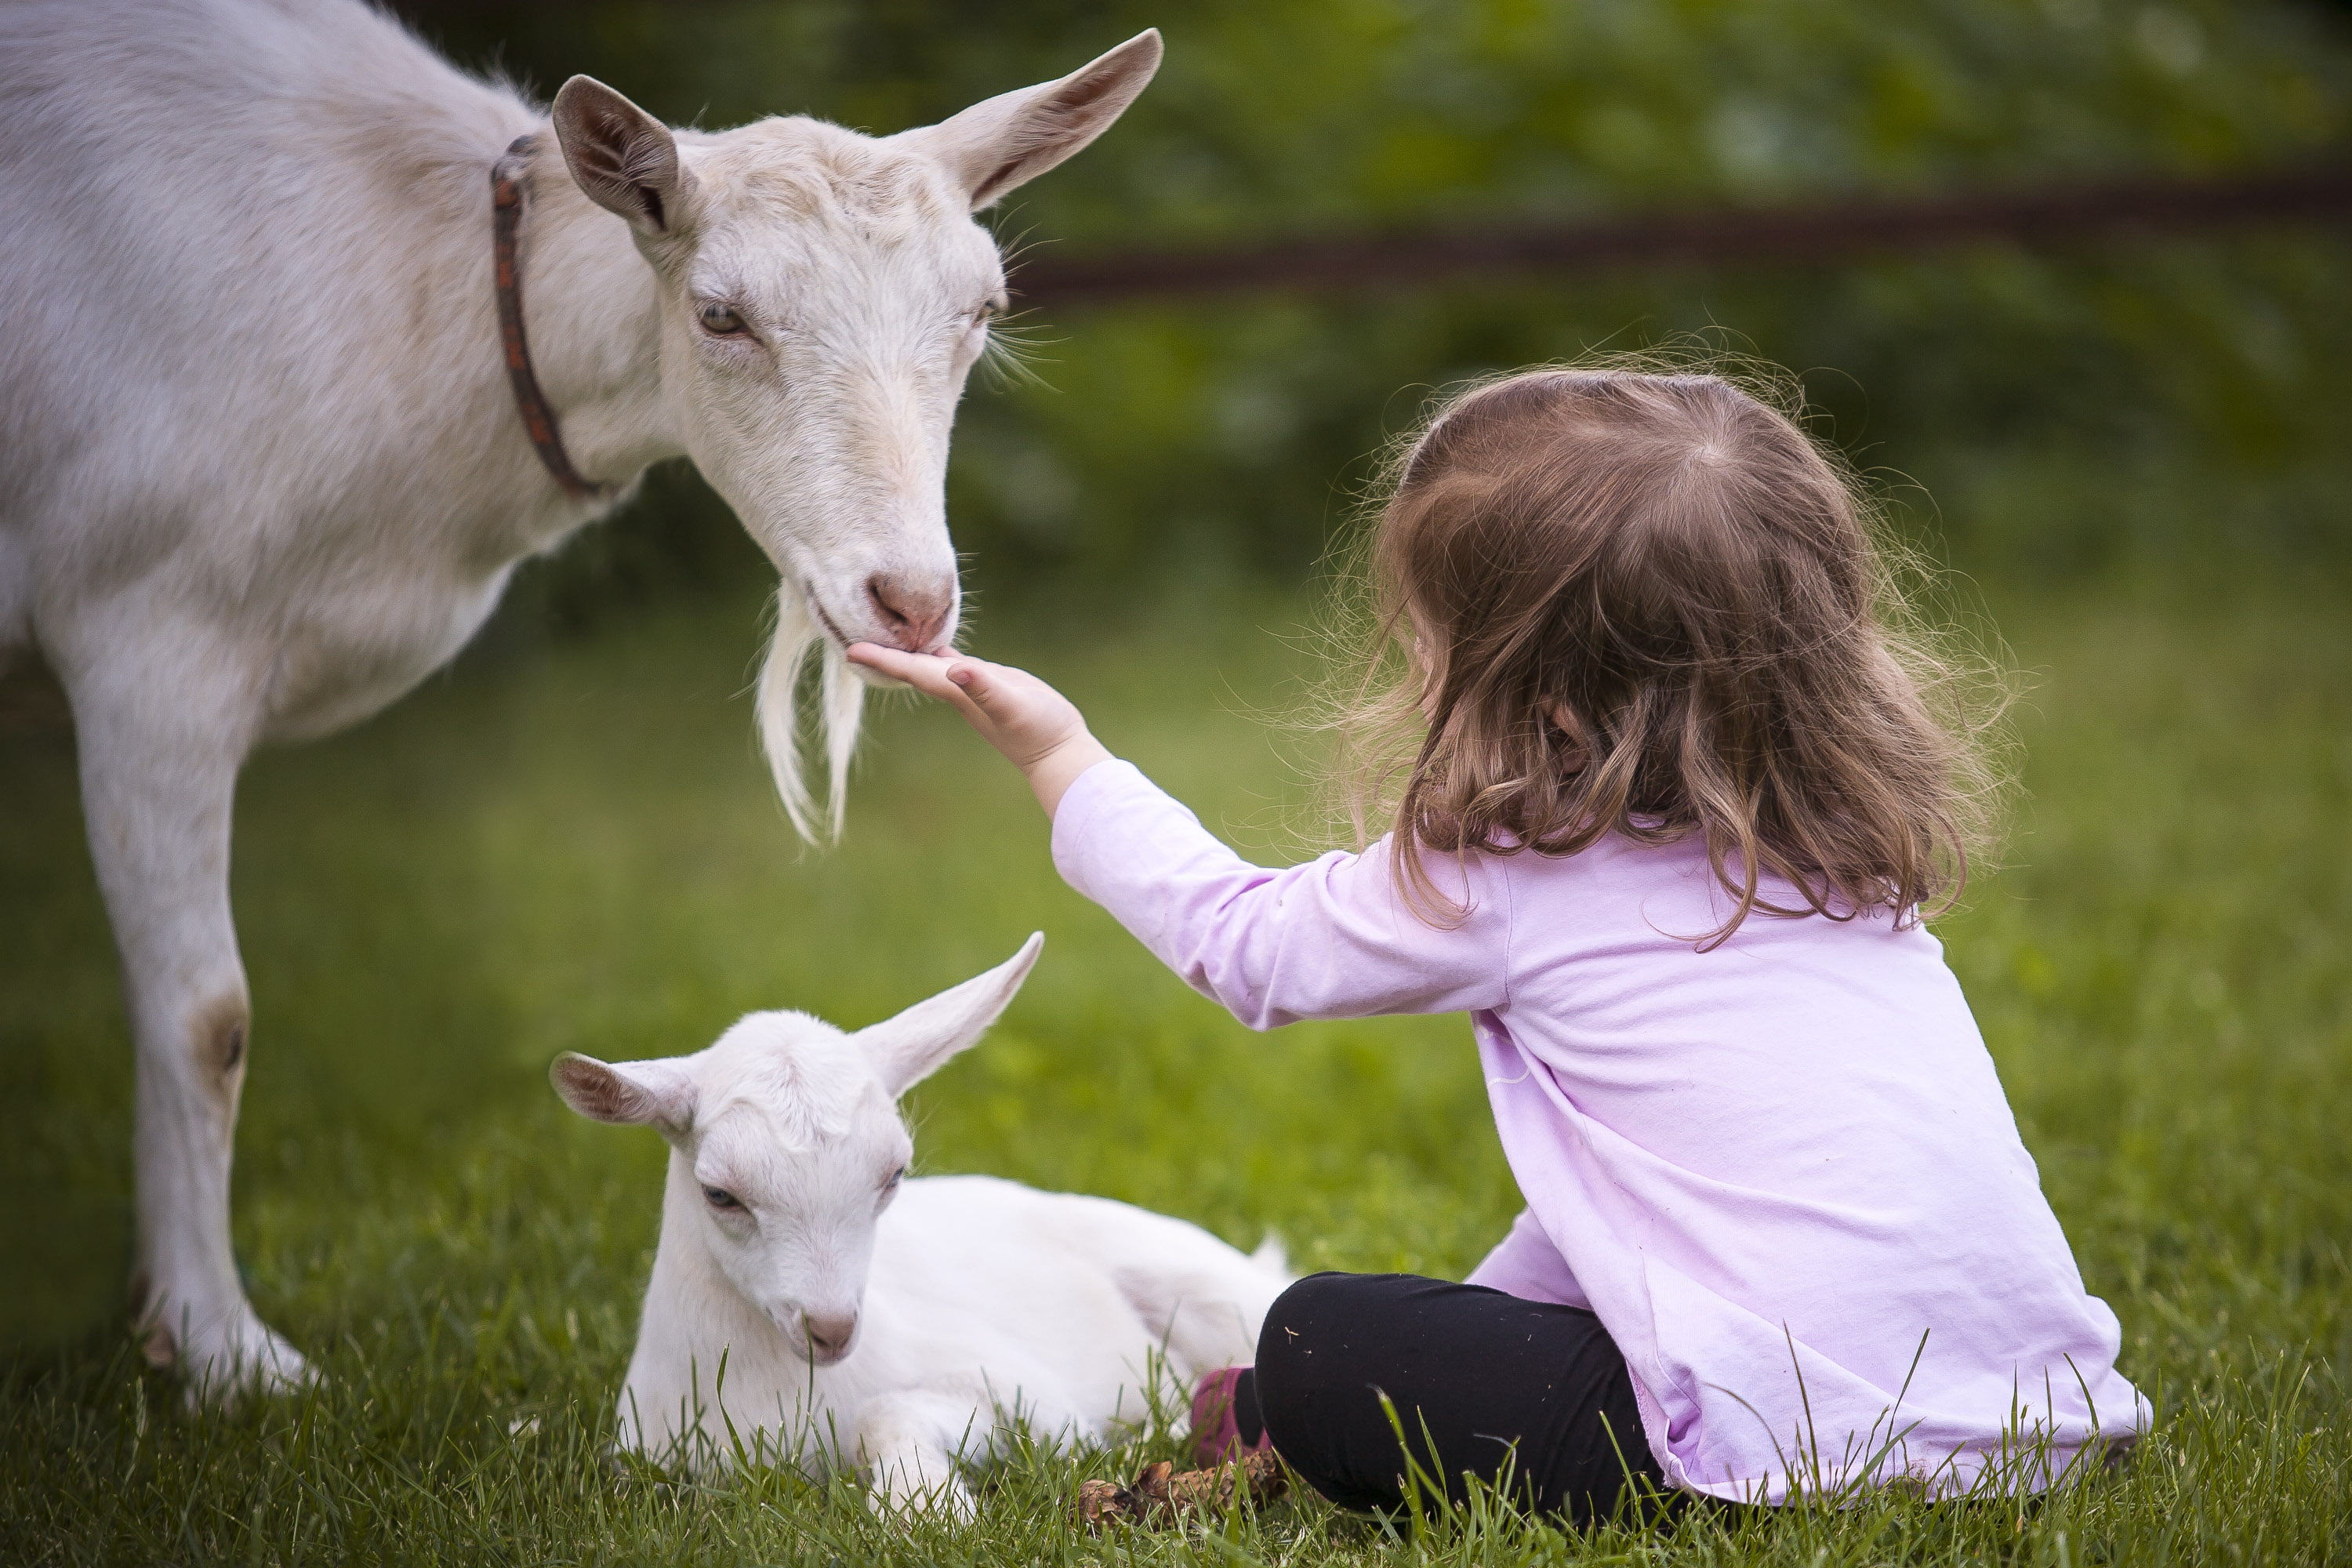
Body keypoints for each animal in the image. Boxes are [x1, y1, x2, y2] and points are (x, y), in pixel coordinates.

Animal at [4, 0, 1162, 1401]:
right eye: (720, 315)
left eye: (983, 309)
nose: (910, 600)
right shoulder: (149, 630)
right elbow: (204, 1016)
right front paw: (225, 1352)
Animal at [548, 940, 1289, 1514]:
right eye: (720, 1194)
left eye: (893, 1175)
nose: (832, 1329)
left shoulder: (1030, 1395)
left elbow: (887, 1412)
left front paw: (925, 1510)